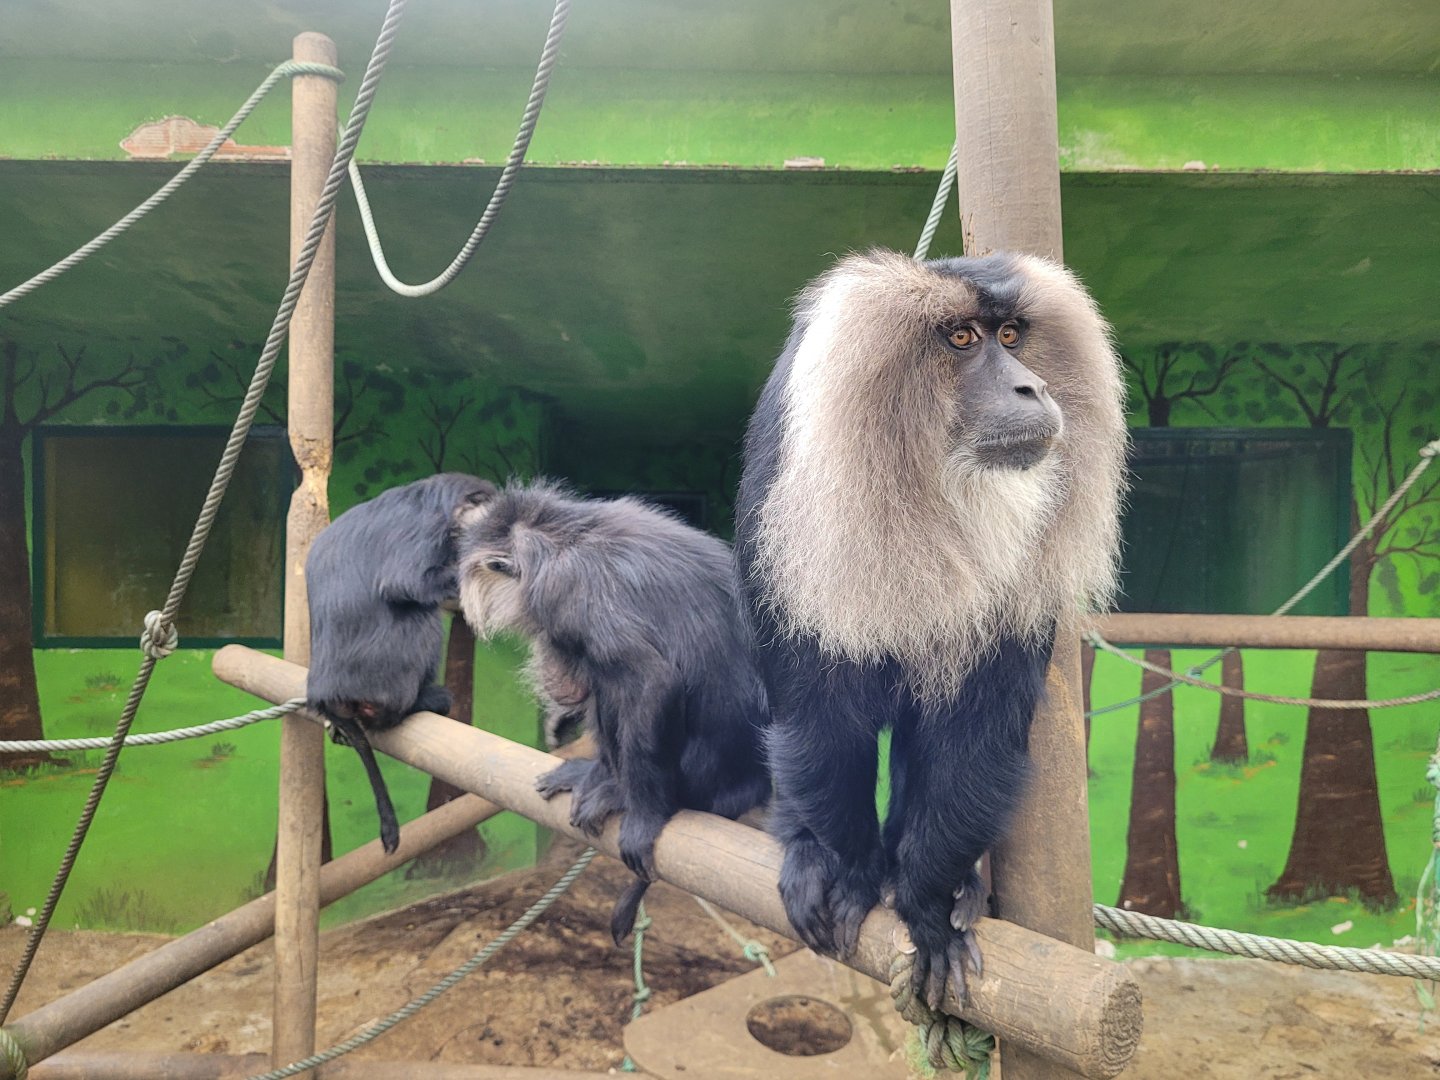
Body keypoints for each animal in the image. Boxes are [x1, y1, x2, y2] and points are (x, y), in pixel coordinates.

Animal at [306, 472, 498, 853]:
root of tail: (327, 691)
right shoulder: (428, 528)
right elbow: (404, 582)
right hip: (387, 684)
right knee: (422, 615)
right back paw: (422, 700)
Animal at [455, 481, 772, 943]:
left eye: (549, 637)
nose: (549, 662)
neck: (560, 534)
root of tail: (749, 787)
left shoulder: (563, 589)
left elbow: (652, 679)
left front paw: (643, 816)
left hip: (697, 778)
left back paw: (621, 791)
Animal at [734, 249, 1126, 1010]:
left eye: (1011, 336)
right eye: (962, 339)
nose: (1032, 386)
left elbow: (973, 737)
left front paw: (926, 906)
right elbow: (822, 728)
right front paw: (854, 877)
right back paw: (807, 850)